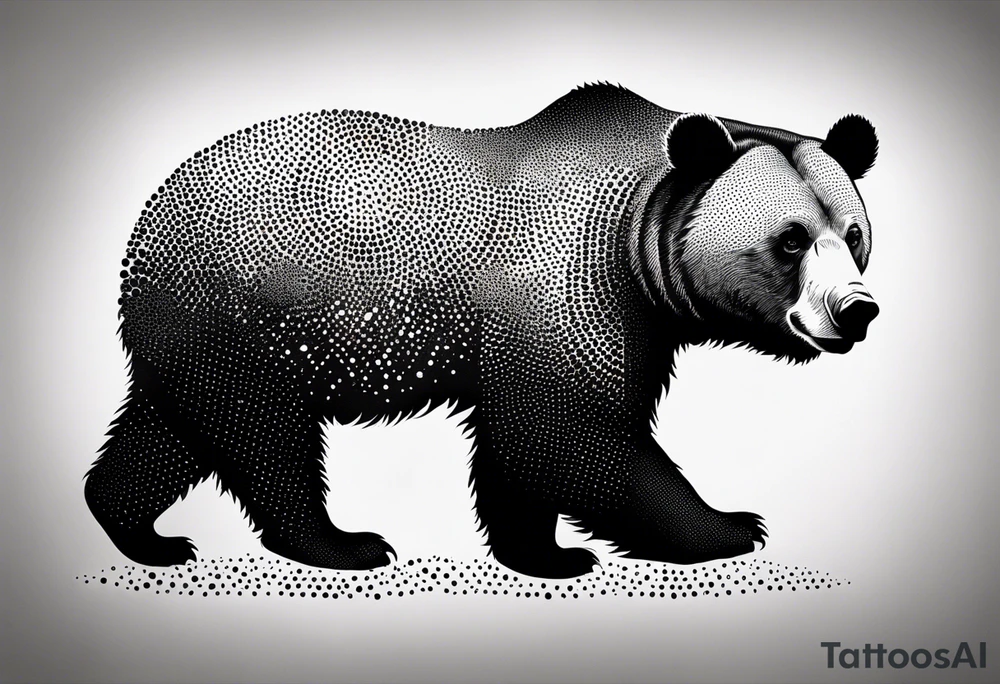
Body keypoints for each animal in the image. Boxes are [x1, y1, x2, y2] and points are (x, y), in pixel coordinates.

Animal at [85, 83, 879, 579]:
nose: (856, 310)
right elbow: (566, 438)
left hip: (196, 330)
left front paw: (545, 552)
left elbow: (524, 449)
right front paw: (729, 525)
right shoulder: (572, 284)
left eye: (854, 234)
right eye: (790, 240)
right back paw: (342, 543)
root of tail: (147, 220)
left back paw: (139, 530)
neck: (640, 229)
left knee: (170, 432)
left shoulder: (620, 317)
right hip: (248, 309)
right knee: (265, 438)